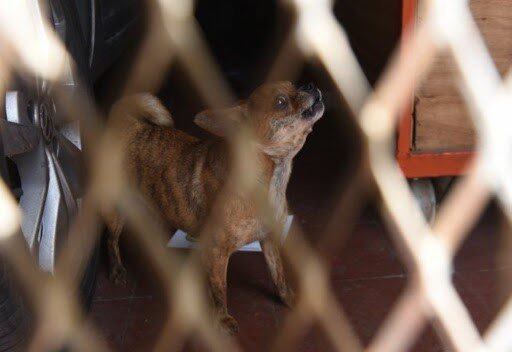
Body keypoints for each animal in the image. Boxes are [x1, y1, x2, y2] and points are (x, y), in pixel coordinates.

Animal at [106, 81, 324, 334]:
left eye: (295, 85)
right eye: (281, 102)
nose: (310, 85)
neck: (271, 179)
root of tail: (131, 125)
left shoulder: (269, 241)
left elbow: (278, 274)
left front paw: (288, 298)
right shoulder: (217, 252)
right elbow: (220, 290)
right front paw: (222, 320)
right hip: (117, 211)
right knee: (111, 240)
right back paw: (116, 270)